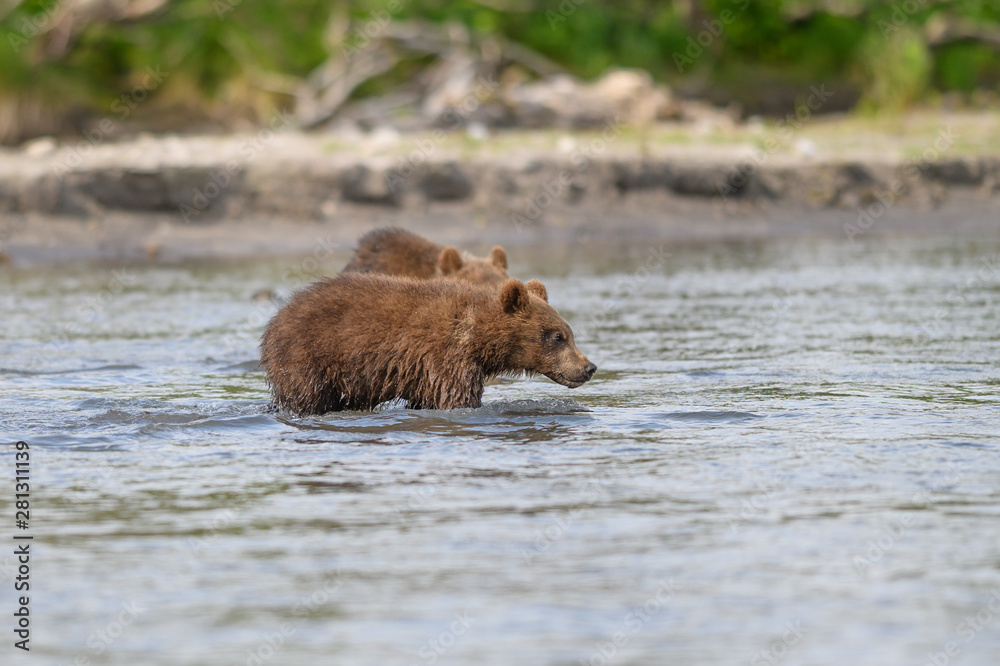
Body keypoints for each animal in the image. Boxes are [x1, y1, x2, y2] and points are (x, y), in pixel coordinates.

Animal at [259, 274, 596, 415]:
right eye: (557, 336)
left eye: (569, 332)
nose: (589, 366)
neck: (476, 336)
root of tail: (277, 317)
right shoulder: (446, 357)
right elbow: (457, 398)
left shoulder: (425, 373)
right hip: (308, 358)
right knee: (308, 396)